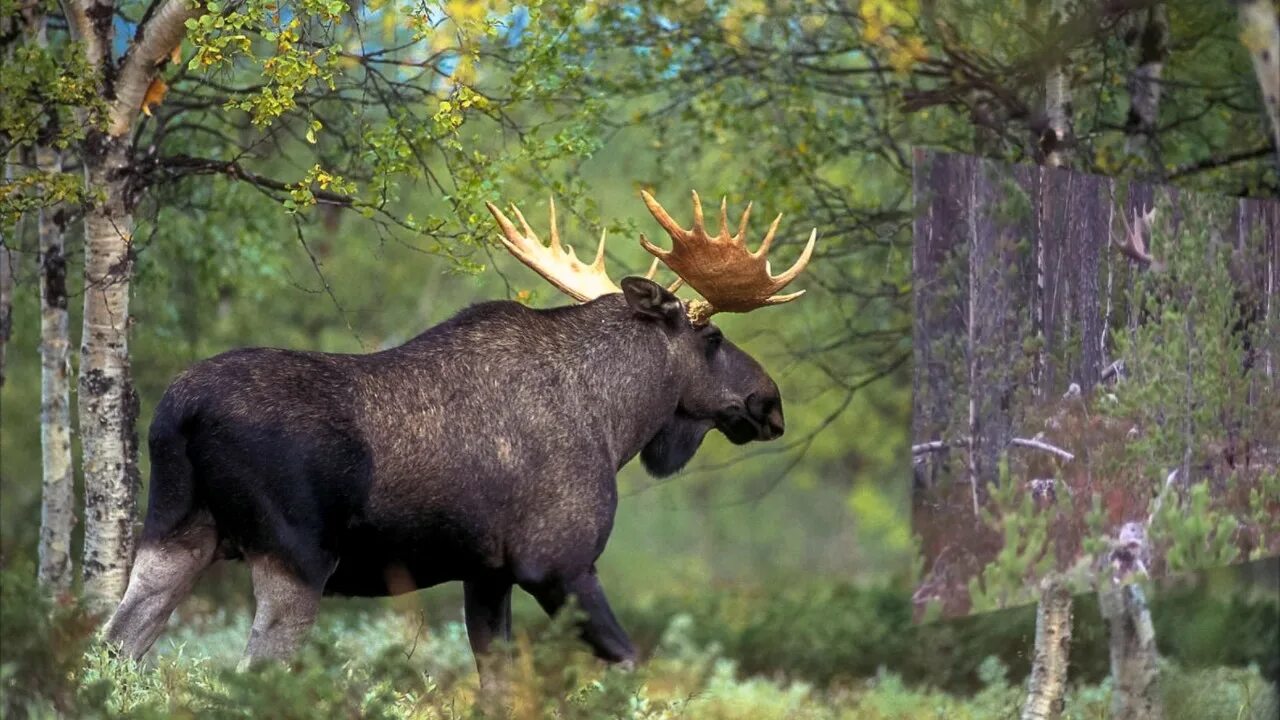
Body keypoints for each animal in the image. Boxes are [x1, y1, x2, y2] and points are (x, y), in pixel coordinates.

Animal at [104, 190, 814, 671]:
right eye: (713, 338)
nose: (769, 401)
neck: (617, 422)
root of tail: (177, 414)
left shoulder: (487, 573)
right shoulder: (557, 562)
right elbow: (629, 661)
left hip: (174, 533)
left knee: (116, 647)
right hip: (295, 556)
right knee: (253, 669)